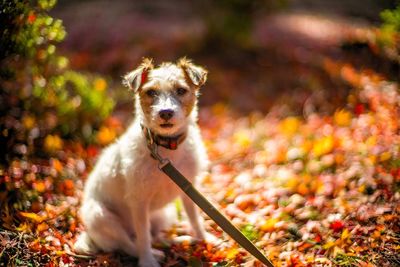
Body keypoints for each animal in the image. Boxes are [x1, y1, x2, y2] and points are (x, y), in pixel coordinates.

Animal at [74, 58, 212, 267]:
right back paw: (154, 253)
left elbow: (195, 217)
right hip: (100, 216)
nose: (165, 113)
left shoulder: (189, 188)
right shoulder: (138, 202)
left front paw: (205, 239)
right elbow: (143, 236)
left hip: (166, 213)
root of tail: (91, 237)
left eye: (181, 90)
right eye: (151, 92)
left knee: (155, 236)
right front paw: (147, 260)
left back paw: (179, 240)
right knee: (128, 243)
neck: (165, 147)